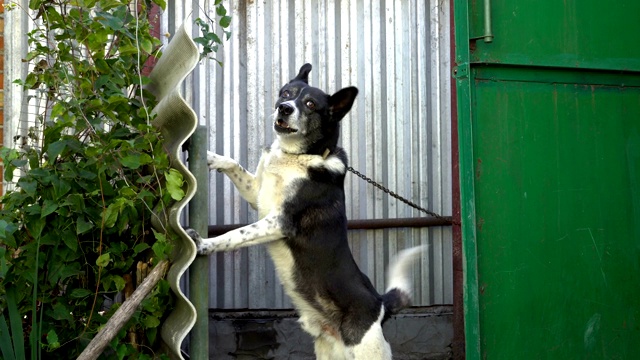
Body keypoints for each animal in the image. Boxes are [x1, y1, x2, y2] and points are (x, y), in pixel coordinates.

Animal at [188, 63, 428, 358]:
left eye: (311, 104)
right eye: (286, 93)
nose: (284, 108)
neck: (298, 156)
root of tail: (381, 305)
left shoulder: (280, 221)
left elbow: (236, 235)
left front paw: (204, 243)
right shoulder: (258, 196)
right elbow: (235, 165)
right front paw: (211, 157)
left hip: (367, 350)